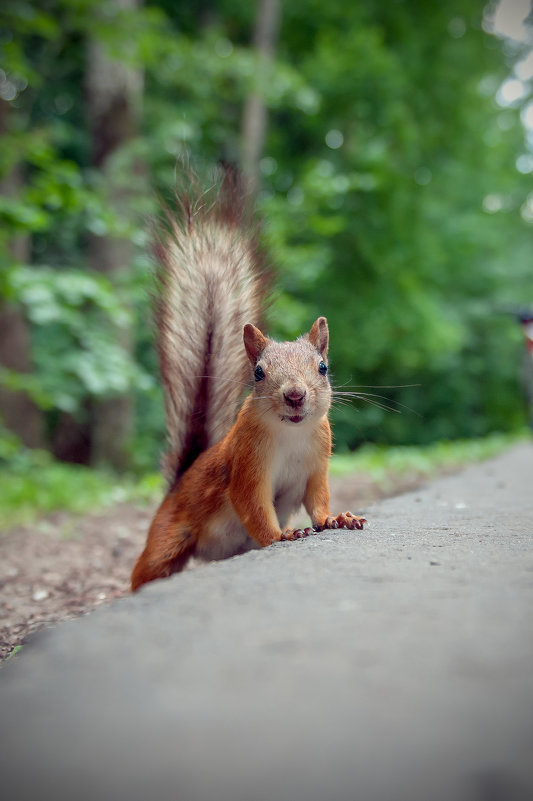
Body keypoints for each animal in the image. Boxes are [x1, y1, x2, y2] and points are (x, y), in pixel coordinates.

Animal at [131, 172, 366, 592]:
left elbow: (318, 500)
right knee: (146, 570)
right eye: (258, 372)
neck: (291, 434)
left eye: (322, 367)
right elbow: (254, 508)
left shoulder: (317, 466)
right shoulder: (247, 465)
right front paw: (283, 535)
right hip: (166, 540)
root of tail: (177, 486)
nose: (295, 395)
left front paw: (337, 518)